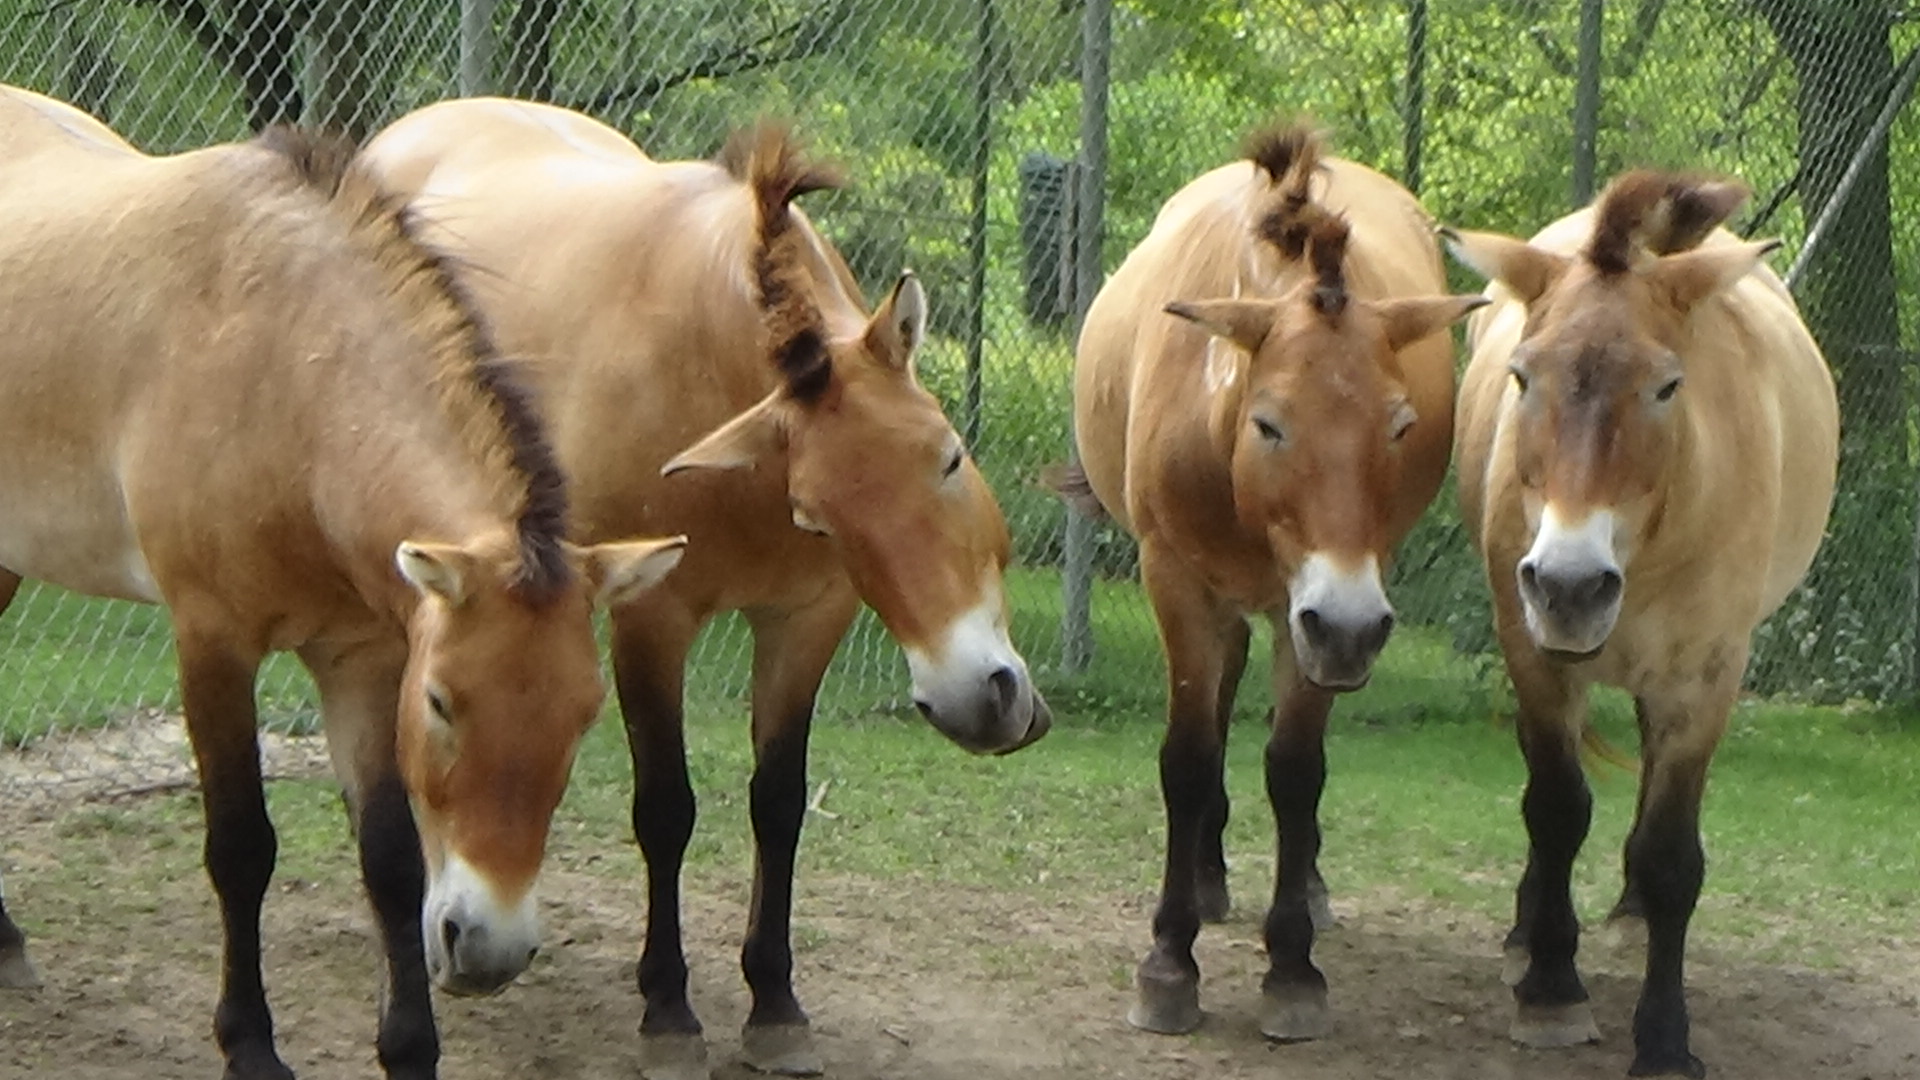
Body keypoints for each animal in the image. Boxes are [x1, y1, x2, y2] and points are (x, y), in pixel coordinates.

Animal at [0, 86, 687, 1080]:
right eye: (441, 703)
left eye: (586, 713)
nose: (489, 950)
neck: (283, 370)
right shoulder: (213, 644)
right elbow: (241, 847)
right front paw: (250, 1044)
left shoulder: (361, 657)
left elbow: (391, 859)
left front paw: (409, 1047)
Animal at [358, 98, 1050, 1078]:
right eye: (819, 513)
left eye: (949, 458)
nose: (980, 700)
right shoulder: (653, 619)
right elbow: (666, 810)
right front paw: (669, 1010)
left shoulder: (807, 620)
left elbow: (779, 803)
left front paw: (776, 1004)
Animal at [1062, 121, 1484, 1040]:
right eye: (1270, 424)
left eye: (1401, 425)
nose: (1353, 627)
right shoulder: (1178, 581)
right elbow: (1189, 758)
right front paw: (1169, 961)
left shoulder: (1319, 611)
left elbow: (1296, 768)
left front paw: (1292, 967)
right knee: (1219, 705)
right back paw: (1208, 879)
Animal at [1447, 171, 1838, 1077]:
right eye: (1522, 378)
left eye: (1667, 386)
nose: (1570, 583)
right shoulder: (1538, 658)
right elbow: (1556, 809)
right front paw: (1551, 990)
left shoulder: (1703, 681)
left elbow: (1669, 857)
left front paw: (1663, 1037)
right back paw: (1530, 934)